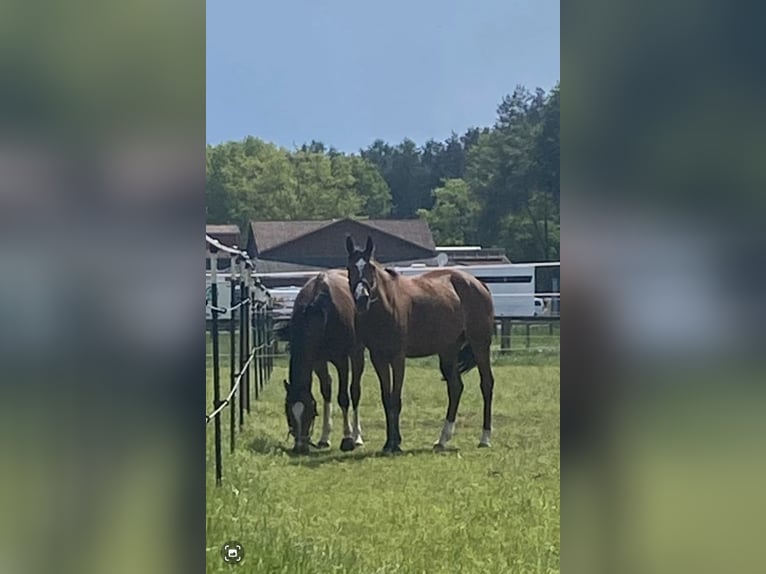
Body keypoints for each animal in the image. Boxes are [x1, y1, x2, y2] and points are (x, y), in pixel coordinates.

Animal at [280, 272, 366, 456]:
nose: (300, 447)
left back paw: (357, 437)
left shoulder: (341, 360)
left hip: (357, 354)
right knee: (328, 388)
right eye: (288, 413)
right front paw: (324, 438)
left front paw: (347, 439)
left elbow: (343, 398)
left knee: (355, 391)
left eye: (309, 412)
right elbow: (326, 391)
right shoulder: (318, 362)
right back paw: (325, 438)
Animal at [344, 236, 496, 456]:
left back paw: (485, 438)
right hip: (448, 350)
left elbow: (396, 399)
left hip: (479, 344)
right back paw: (442, 439)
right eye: (349, 268)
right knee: (455, 387)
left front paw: (395, 444)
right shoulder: (378, 358)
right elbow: (386, 398)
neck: (385, 306)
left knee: (486, 384)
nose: (362, 298)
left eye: (370, 268)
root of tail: (479, 284)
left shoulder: (398, 358)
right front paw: (389, 442)